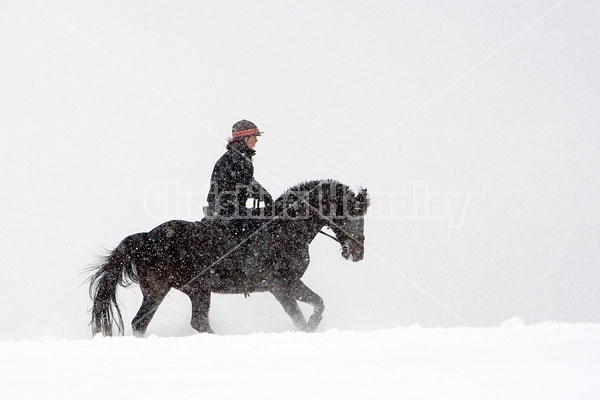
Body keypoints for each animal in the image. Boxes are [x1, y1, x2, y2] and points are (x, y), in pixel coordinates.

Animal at [89, 180, 370, 336]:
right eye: (350, 214)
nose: (358, 253)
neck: (285, 229)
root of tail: (146, 237)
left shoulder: (288, 284)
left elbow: (318, 304)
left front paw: (312, 325)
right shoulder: (280, 285)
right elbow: (300, 314)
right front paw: (308, 328)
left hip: (168, 290)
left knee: (145, 323)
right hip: (188, 289)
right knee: (193, 322)